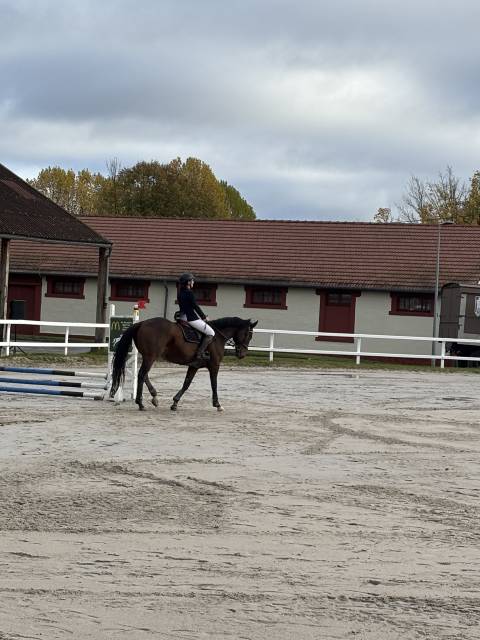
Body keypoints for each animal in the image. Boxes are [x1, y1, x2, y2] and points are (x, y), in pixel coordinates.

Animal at [109, 316, 258, 411]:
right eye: (248, 335)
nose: (242, 354)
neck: (217, 337)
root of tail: (142, 323)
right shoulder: (214, 365)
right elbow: (214, 384)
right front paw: (218, 404)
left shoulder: (194, 365)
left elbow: (186, 383)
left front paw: (175, 403)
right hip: (150, 357)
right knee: (141, 375)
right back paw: (140, 403)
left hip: (148, 357)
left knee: (143, 375)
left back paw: (154, 397)